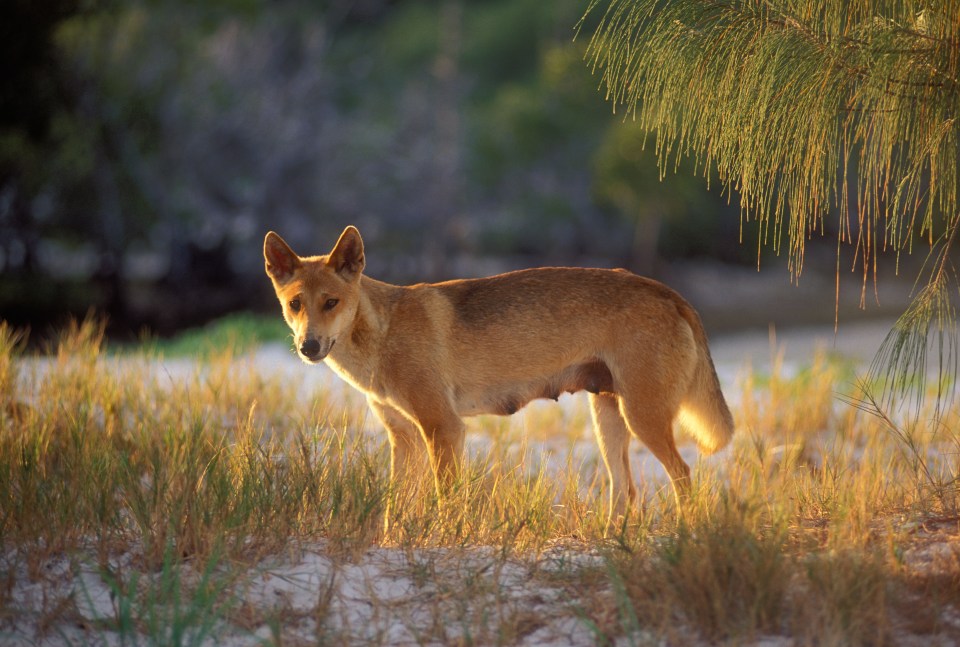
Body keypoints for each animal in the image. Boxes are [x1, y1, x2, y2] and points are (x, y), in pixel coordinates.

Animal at [264, 227, 736, 516]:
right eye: (295, 304)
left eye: (331, 303)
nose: (308, 347)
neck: (383, 333)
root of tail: (668, 291)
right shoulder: (405, 438)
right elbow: (394, 510)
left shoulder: (443, 428)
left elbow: (446, 502)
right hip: (610, 422)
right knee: (628, 494)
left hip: (643, 419)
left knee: (684, 477)